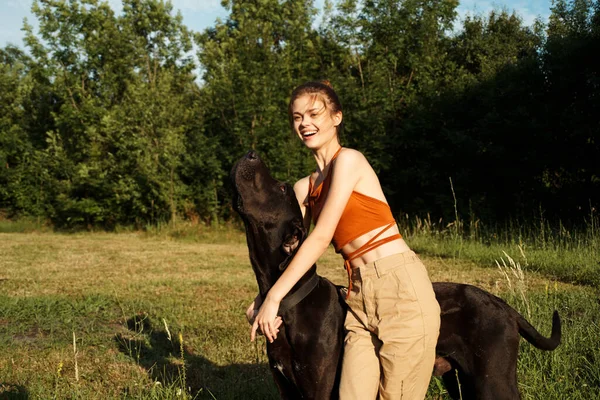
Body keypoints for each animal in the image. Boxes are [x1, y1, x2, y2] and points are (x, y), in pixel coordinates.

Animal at [232, 151, 560, 400]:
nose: (250, 153)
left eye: (282, 188)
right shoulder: (286, 388)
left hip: (492, 381)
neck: (290, 299)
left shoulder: (319, 389)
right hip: (462, 382)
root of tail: (504, 306)